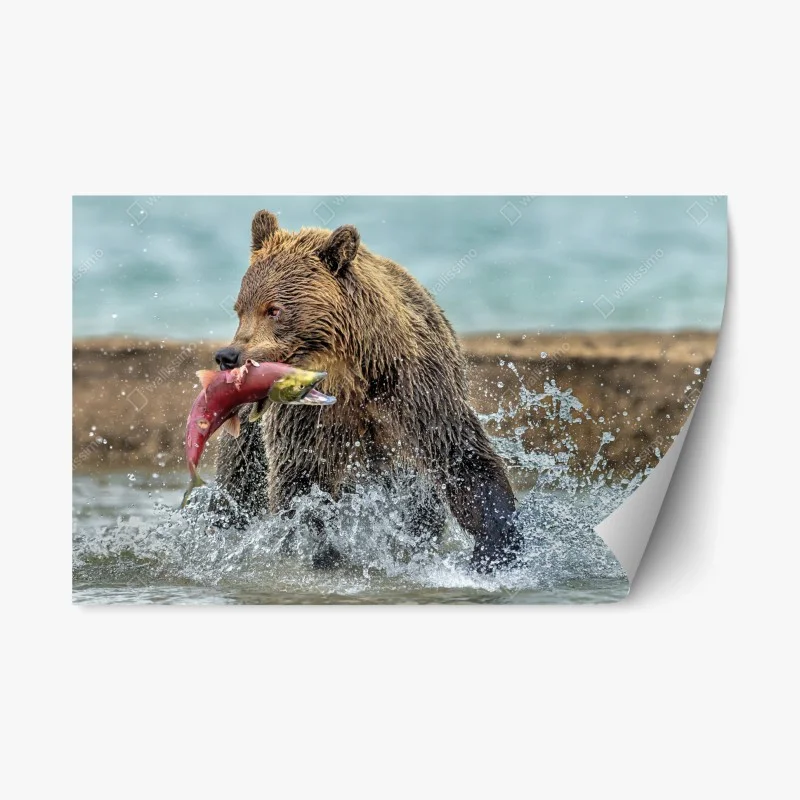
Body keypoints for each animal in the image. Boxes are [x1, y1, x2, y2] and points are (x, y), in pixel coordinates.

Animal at [212, 209, 521, 572]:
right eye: (240, 309)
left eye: (274, 309)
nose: (228, 356)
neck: (352, 372)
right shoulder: (309, 416)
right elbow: (302, 478)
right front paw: (320, 549)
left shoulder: (416, 390)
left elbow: (461, 456)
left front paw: (496, 546)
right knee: (238, 484)